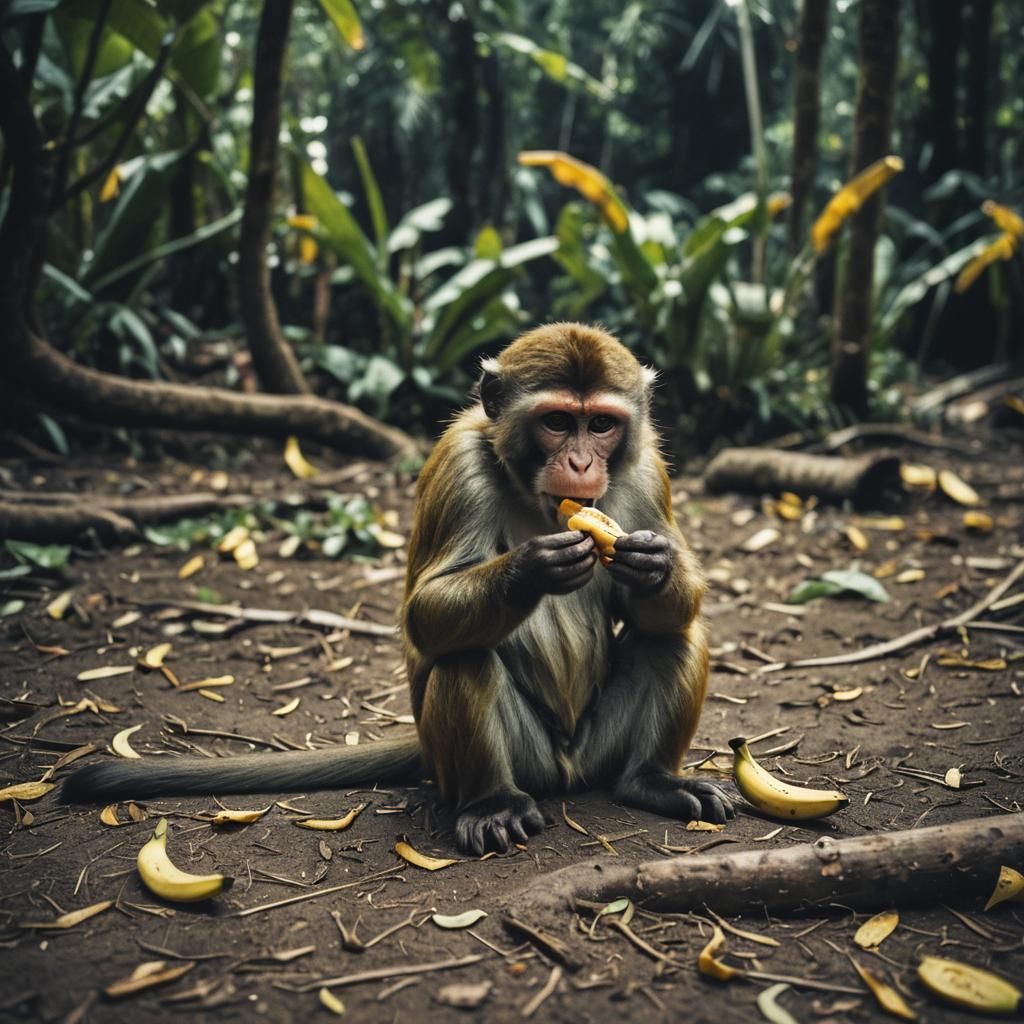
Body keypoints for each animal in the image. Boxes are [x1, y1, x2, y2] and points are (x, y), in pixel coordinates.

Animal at [63, 323, 733, 854]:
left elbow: (669, 611)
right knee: (465, 658)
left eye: (601, 424)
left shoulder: (646, 470)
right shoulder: (459, 463)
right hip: (523, 762)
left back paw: (651, 780)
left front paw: (653, 564)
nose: (581, 464)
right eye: (557, 421)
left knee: (674, 639)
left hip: (596, 751)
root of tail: (568, 770)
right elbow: (425, 614)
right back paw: (491, 804)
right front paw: (532, 569)